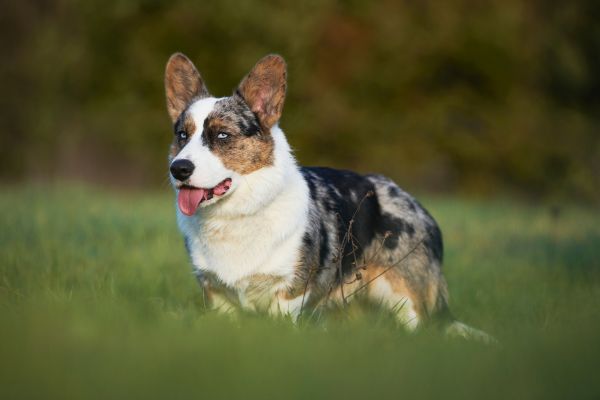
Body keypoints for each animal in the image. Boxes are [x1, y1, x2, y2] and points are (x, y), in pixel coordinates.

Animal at [163, 53, 492, 340]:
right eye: (182, 135)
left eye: (222, 135)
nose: (178, 169)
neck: (236, 215)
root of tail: (418, 207)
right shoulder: (216, 294)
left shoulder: (289, 294)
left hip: (406, 300)